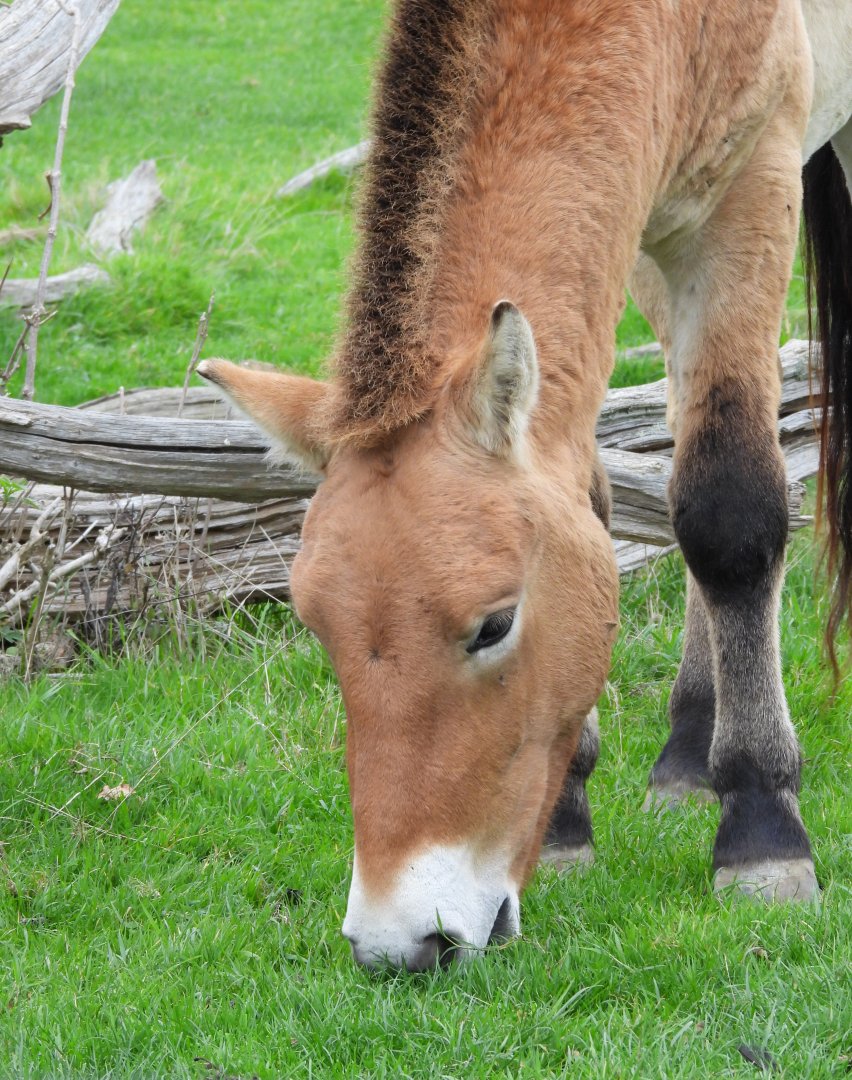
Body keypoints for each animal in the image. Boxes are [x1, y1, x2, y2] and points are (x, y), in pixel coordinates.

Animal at [198, 0, 852, 971]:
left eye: (494, 624)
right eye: (318, 626)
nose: (402, 942)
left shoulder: (750, 187)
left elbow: (730, 513)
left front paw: (763, 829)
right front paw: (572, 816)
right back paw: (687, 746)